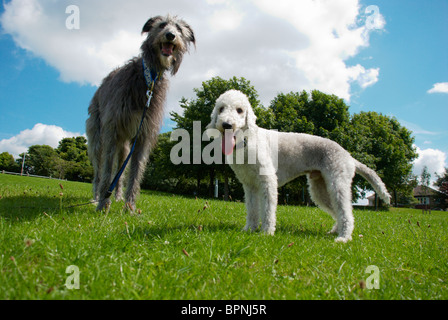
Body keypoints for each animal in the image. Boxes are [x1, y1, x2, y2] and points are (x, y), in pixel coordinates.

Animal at [86, 15, 194, 211]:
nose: (170, 35)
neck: (148, 79)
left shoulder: (144, 133)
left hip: (124, 146)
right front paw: (104, 205)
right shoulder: (112, 129)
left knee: (120, 171)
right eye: (161, 25)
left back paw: (117, 196)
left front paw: (129, 207)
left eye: (179, 29)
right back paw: (97, 197)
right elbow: (107, 170)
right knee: (99, 168)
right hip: (97, 134)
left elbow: (136, 171)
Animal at [208, 90, 390, 242]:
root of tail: (349, 157)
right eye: (221, 108)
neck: (248, 140)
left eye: (239, 110)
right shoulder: (249, 185)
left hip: (337, 183)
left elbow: (268, 210)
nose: (226, 125)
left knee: (346, 212)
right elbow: (252, 209)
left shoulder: (268, 181)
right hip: (319, 188)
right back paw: (335, 231)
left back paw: (343, 237)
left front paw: (267, 232)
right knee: (337, 211)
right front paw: (249, 230)